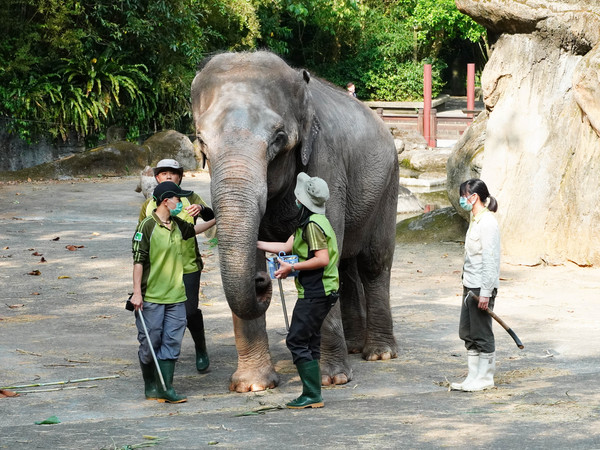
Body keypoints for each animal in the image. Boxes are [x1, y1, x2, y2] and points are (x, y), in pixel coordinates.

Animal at [192, 51, 398, 390]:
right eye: (201, 142)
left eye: (278, 139)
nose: (261, 282)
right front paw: (253, 385)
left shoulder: (326, 162)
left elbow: (326, 249)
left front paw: (332, 379)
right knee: (347, 264)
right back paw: (354, 347)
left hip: (389, 186)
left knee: (373, 261)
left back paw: (379, 354)